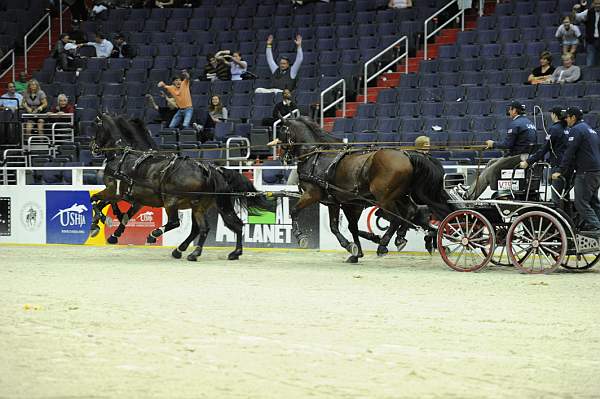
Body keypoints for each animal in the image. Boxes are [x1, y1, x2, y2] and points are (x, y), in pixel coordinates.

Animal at [91, 113, 270, 262]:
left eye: (96, 128)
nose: (93, 147)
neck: (123, 156)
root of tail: (207, 169)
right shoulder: (135, 199)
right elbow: (119, 212)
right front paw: (112, 231)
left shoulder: (114, 191)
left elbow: (96, 200)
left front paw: (100, 223)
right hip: (201, 206)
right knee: (210, 228)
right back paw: (207, 252)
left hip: (172, 201)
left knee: (176, 222)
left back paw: (156, 236)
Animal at [274, 117, 452, 264]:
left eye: (282, 132)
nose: (283, 157)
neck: (315, 157)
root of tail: (406, 155)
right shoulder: (337, 202)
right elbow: (339, 227)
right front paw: (355, 251)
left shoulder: (312, 194)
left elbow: (294, 212)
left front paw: (301, 237)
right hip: (400, 195)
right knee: (410, 212)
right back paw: (402, 239)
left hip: (384, 198)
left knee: (397, 218)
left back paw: (384, 245)